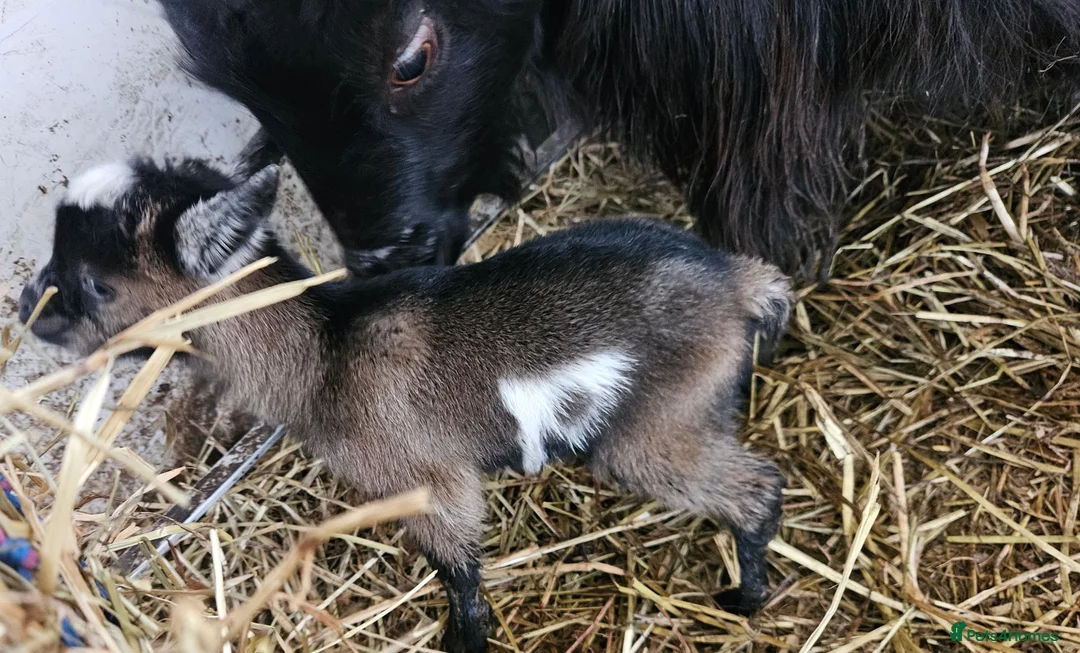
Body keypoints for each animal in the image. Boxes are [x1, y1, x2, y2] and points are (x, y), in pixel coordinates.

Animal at [20, 158, 790, 652]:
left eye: (96, 283)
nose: (30, 308)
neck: (326, 351)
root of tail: (739, 281)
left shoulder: (428, 481)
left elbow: (459, 569)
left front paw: (463, 642)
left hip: (655, 424)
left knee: (757, 487)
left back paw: (745, 598)